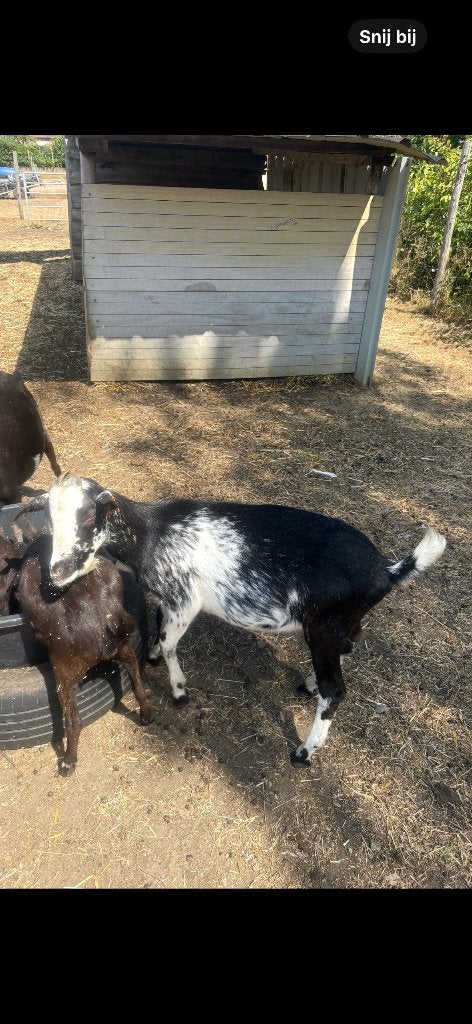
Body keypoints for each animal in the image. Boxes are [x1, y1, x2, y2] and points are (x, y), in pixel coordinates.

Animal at [15, 532, 154, 775]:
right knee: (138, 686)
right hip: (127, 651)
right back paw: (145, 716)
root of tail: (104, 625)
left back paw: (68, 761)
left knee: (74, 721)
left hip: (64, 672)